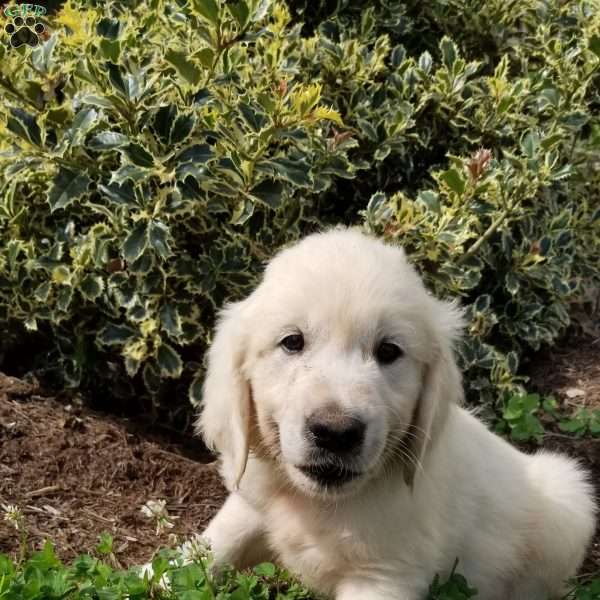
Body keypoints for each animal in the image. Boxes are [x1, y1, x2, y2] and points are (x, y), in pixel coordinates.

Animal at [198, 229, 596, 600]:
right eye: (292, 342)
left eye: (388, 351)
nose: (335, 433)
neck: (316, 502)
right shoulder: (250, 501)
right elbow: (213, 545)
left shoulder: (384, 576)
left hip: (568, 501)